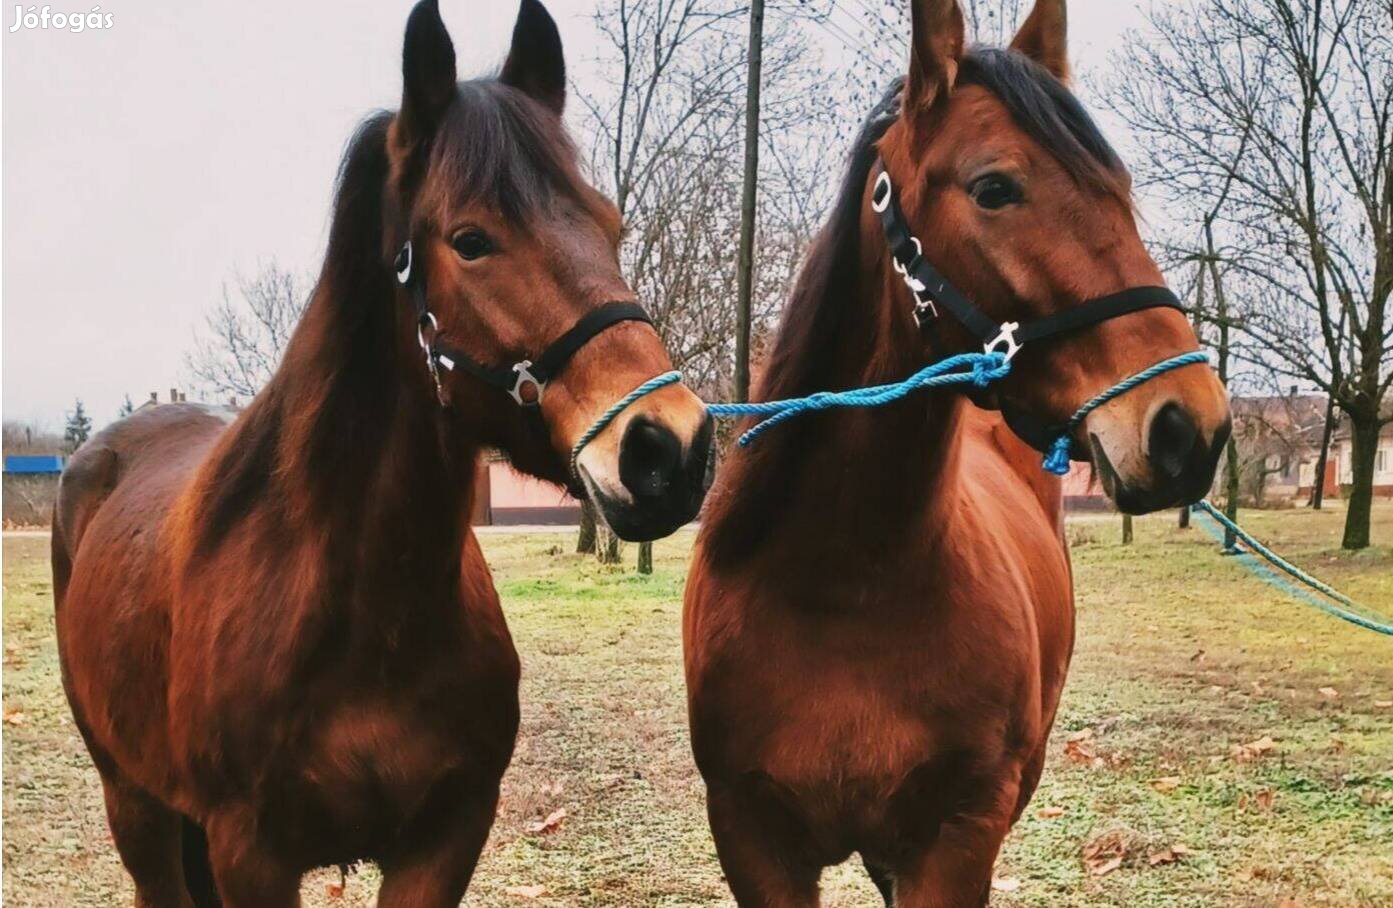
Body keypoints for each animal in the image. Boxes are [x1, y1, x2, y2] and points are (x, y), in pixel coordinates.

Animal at [50, 3, 713, 902]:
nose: (667, 447)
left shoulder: (445, 837)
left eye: (610, 225)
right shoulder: (249, 855)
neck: (361, 619)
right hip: (135, 804)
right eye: (469, 240)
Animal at [682, 0, 1231, 902]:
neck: (841, 590)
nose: (1190, 426)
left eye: (1119, 191)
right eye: (993, 188)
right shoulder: (753, 840)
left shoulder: (957, 837)